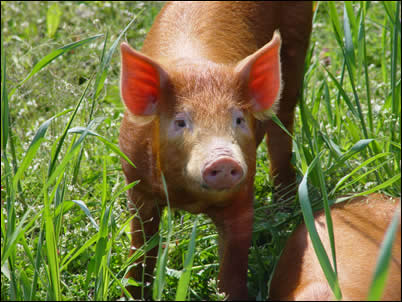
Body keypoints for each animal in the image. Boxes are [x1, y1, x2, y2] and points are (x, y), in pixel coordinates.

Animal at [118, 1, 312, 300]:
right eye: (181, 122)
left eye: (238, 119)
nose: (222, 158)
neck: (189, 199)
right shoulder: (137, 185)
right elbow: (140, 250)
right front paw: (132, 291)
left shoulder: (243, 189)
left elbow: (233, 265)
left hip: (297, 41)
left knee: (283, 120)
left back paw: (285, 204)